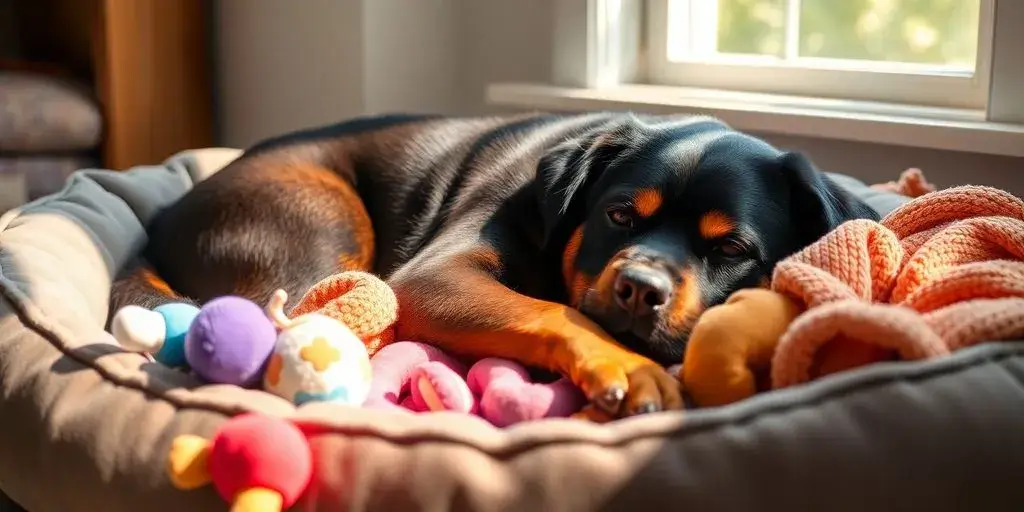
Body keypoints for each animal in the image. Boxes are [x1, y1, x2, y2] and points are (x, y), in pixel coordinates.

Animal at [112, 111, 880, 415]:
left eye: (731, 249)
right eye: (620, 215)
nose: (638, 288)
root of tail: (158, 223)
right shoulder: (436, 275)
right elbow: (555, 310)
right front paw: (628, 367)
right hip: (321, 218)